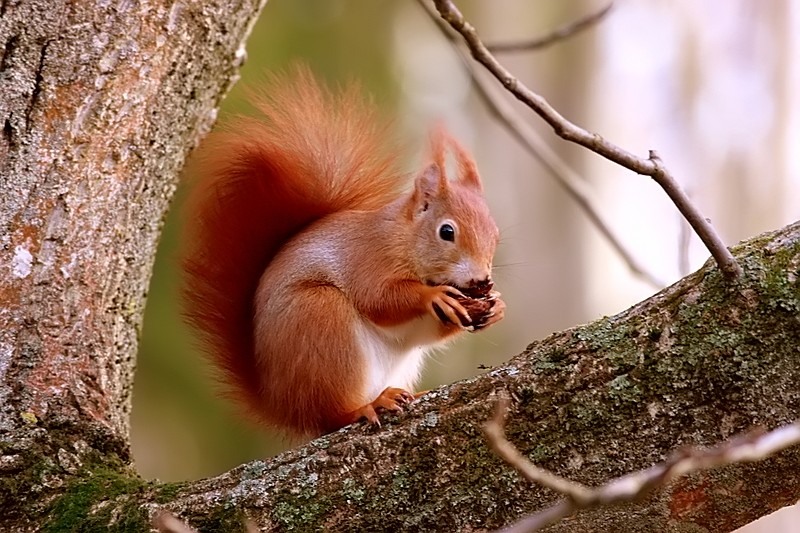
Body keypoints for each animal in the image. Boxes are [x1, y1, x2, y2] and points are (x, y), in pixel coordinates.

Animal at [184, 67, 504, 436]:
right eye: (447, 232)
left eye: (496, 235)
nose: (482, 280)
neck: (405, 239)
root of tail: (282, 403)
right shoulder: (368, 256)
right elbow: (378, 298)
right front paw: (433, 296)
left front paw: (495, 307)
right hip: (321, 320)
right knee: (332, 414)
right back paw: (366, 406)